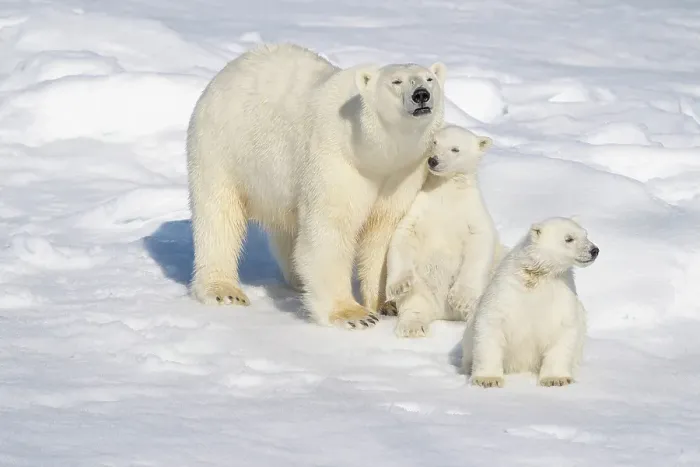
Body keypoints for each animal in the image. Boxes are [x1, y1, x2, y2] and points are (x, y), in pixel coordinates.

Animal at [186, 43, 447, 329]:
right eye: (396, 81)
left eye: (429, 79)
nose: (421, 95)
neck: (373, 154)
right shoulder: (336, 159)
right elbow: (331, 228)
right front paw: (354, 314)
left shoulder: (402, 174)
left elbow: (384, 233)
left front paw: (386, 304)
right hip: (223, 148)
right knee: (219, 216)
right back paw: (224, 290)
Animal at [379, 124, 502, 338]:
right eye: (434, 142)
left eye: (455, 149)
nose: (433, 160)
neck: (446, 190)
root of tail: (444, 314)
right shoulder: (420, 208)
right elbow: (403, 235)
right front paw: (399, 285)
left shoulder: (472, 213)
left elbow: (479, 243)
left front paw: (460, 298)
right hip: (423, 288)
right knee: (415, 303)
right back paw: (412, 326)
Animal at [461, 216, 599, 388]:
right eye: (569, 238)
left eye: (585, 235)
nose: (594, 250)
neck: (537, 277)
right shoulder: (506, 291)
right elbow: (491, 325)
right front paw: (488, 379)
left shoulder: (561, 293)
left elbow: (563, 329)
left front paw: (556, 379)